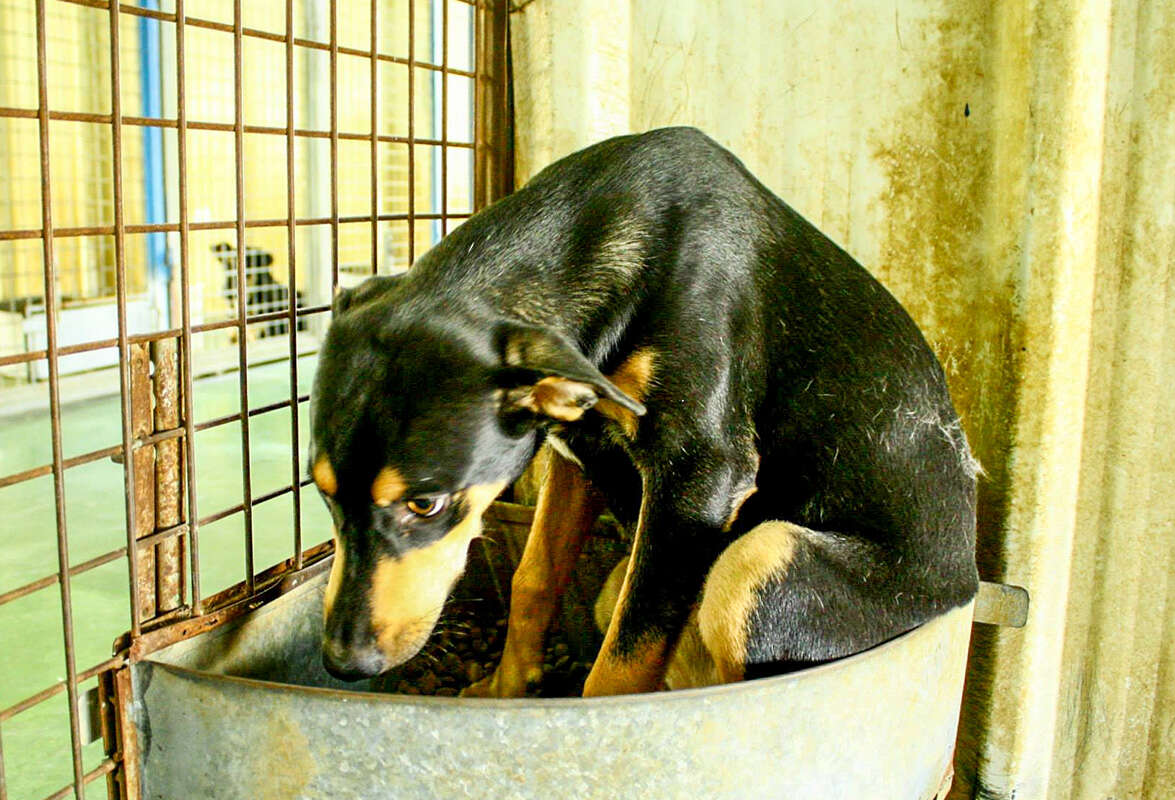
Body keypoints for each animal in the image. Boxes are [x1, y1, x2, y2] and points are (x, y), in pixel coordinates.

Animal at [308, 127, 979, 695]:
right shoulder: (574, 454)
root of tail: (965, 583)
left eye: (426, 504)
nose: (343, 663)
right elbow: (533, 581)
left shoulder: (699, 478)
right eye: (323, 494)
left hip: (756, 559)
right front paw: (504, 691)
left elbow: (621, 665)